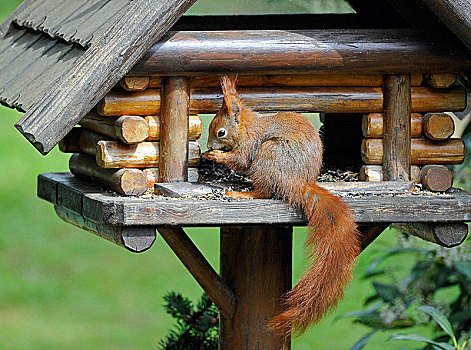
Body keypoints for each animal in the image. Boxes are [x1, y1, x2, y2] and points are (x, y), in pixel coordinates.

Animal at [206, 76, 362, 336]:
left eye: (221, 132)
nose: (208, 146)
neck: (248, 128)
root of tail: (297, 183)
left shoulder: (250, 146)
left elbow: (240, 160)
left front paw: (216, 156)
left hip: (268, 154)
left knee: (265, 191)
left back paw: (243, 193)